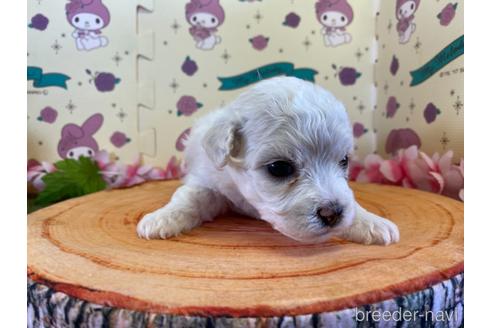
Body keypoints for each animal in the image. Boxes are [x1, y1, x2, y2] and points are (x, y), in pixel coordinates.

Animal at [136, 77, 398, 243]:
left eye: (344, 161)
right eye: (279, 168)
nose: (332, 213)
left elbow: (353, 205)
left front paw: (372, 223)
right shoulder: (208, 180)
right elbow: (188, 198)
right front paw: (162, 218)